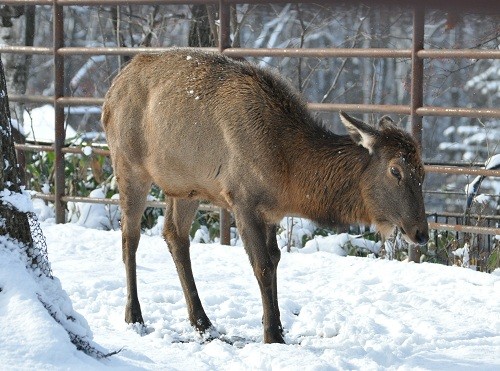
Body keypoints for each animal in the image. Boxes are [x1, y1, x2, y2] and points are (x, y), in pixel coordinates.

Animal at [102, 48, 430, 346]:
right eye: (395, 170)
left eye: (422, 171)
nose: (421, 233)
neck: (289, 171)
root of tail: (111, 92)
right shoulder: (242, 200)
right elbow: (261, 265)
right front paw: (272, 334)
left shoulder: (272, 211)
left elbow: (275, 259)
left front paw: (278, 328)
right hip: (129, 167)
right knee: (130, 236)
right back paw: (134, 316)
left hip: (184, 187)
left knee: (174, 235)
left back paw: (203, 323)